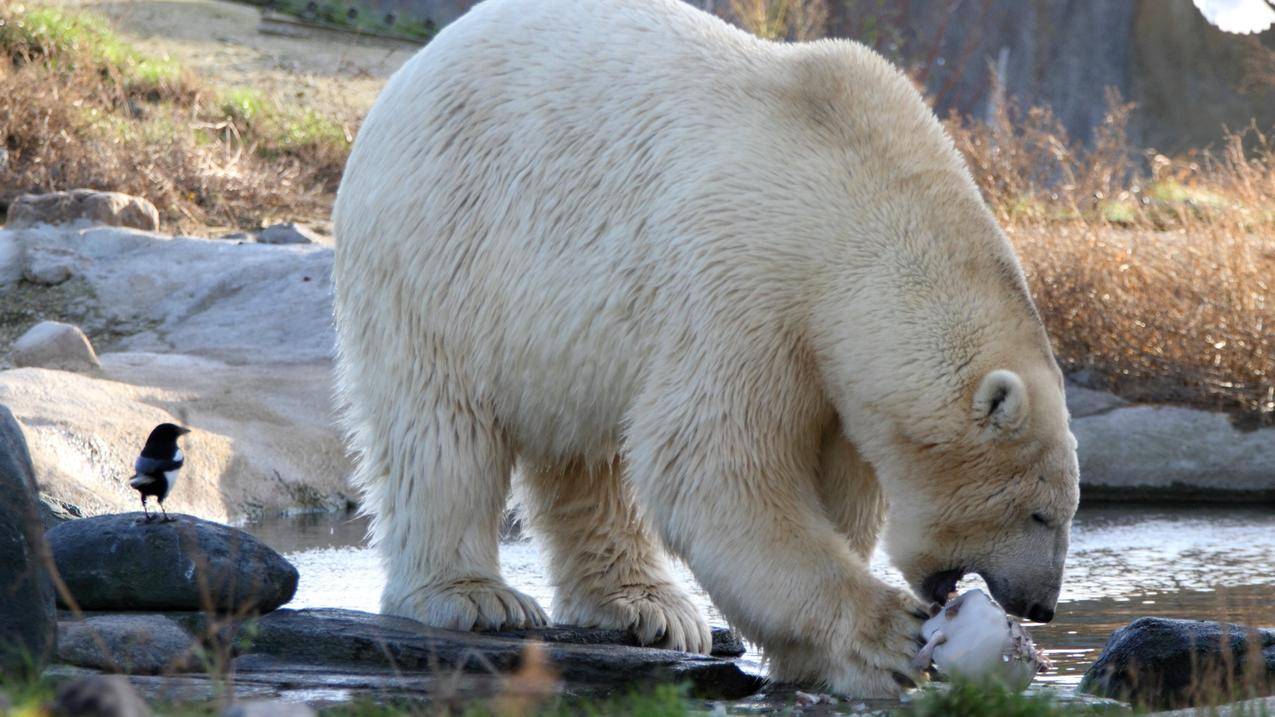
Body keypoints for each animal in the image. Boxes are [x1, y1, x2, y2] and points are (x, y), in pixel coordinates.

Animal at [334, 0, 1081, 694]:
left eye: (1063, 510)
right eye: (1039, 512)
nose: (1040, 606)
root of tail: (410, 73)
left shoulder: (828, 362)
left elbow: (833, 478)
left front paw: (817, 658)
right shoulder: (744, 285)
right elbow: (714, 464)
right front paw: (886, 638)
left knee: (589, 457)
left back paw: (647, 606)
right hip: (443, 248)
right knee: (442, 430)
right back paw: (475, 596)